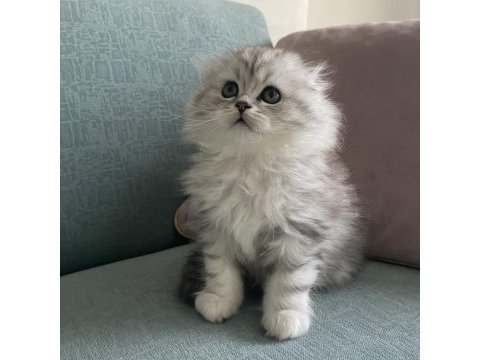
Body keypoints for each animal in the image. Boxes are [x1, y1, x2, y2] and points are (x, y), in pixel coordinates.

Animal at [179, 46, 364, 338]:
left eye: (271, 95)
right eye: (230, 89)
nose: (242, 105)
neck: (250, 165)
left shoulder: (298, 233)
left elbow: (289, 282)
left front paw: (285, 316)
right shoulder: (216, 229)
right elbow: (220, 271)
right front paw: (219, 300)